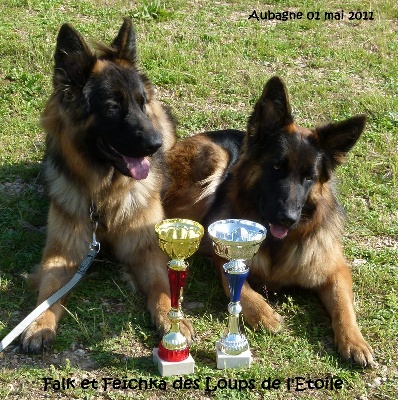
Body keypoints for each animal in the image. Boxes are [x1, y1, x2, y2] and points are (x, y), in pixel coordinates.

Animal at [20, 18, 194, 354]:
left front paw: (172, 321)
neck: (104, 195)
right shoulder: (63, 252)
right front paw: (38, 324)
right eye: (113, 106)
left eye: (141, 103)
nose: (155, 146)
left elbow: (162, 287)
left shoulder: (146, 248)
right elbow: (50, 290)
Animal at [164, 76, 374, 368]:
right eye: (276, 167)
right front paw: (263, 313)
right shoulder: (225, 257)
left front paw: (355, 341)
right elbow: (242, 289)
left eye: (309, 177)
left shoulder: (335, 269)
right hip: (213, 161)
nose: (288, 218)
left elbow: (344, 306)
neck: (278, 243)